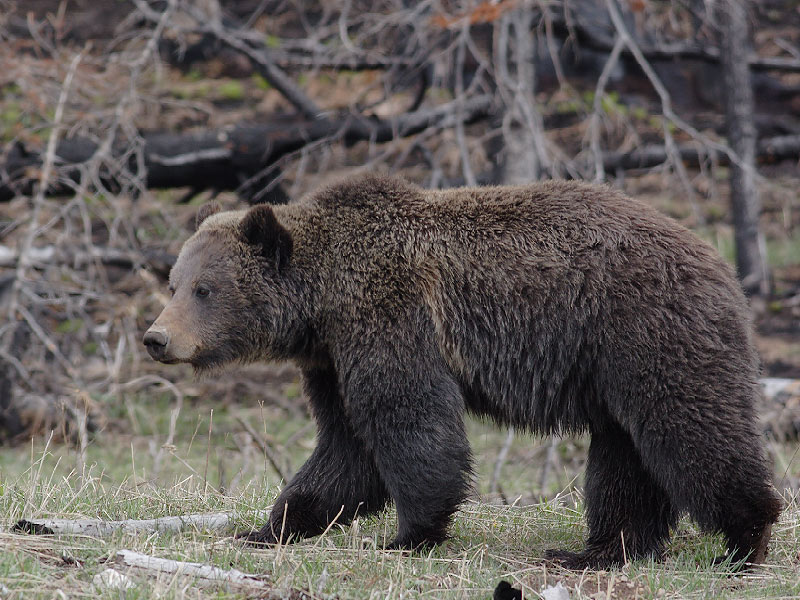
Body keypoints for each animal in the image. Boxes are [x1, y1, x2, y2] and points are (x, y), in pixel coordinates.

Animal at [144, 173, 780, 568]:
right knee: (625, 457)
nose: (157, 338)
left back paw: (743, 541)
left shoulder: (391, 319)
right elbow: (345, 447)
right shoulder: (331, 359)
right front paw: (270, 526)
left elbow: (410, 424)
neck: (321, 305)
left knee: (691, 428)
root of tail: (721, 265)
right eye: (174, 282)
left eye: (205, 289)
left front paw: (409, 536)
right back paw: (597, 551)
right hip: (613, 369)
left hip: (646, 333)